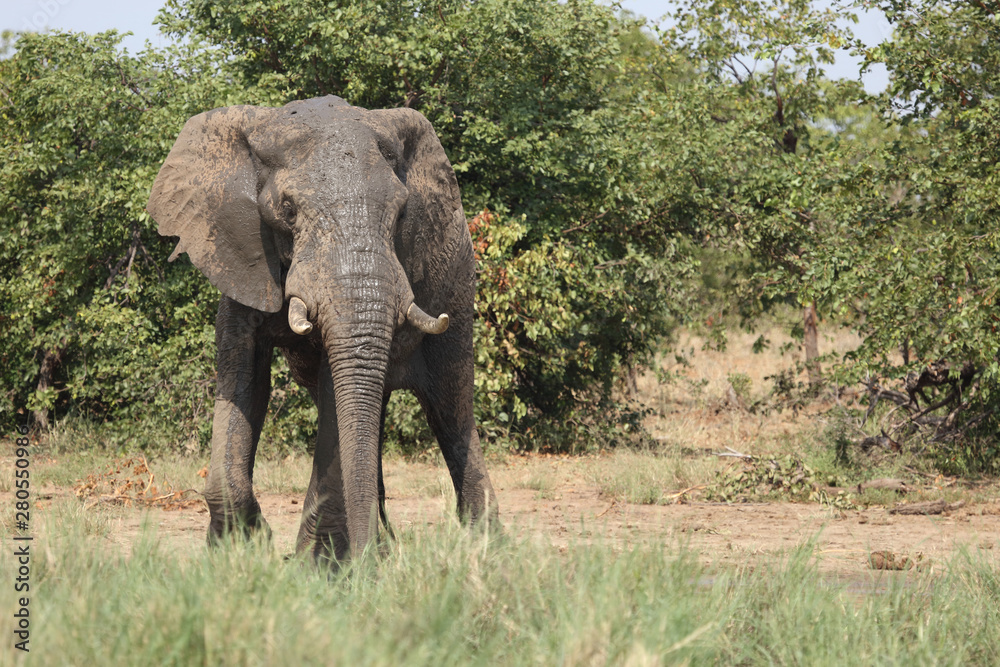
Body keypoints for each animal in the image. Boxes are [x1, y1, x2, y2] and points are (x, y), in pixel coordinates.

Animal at [146, 95, 499, 561]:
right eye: (288, 210)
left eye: (402, 213)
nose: (369, 563)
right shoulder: (241, 256)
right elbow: (243, 380)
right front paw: (241, 550)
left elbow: (337, 392)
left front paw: (317, 564)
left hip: (457, 286)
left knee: (450, 408)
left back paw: (485, 544)